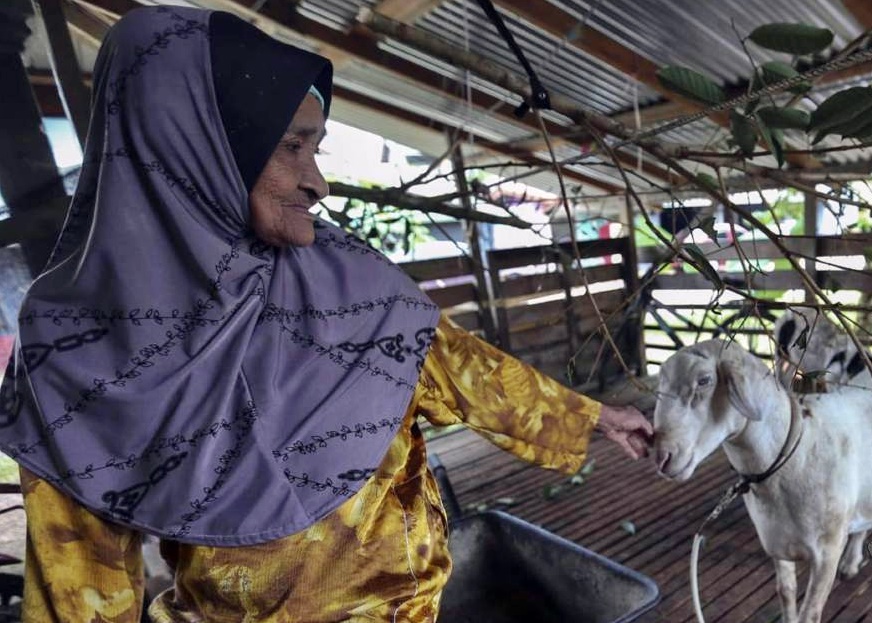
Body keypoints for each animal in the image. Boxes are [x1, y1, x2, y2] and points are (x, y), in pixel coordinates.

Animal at [656, 342, 872, 623]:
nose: (662, 457)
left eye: (704, 380)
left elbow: (810, 613)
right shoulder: (776, 540)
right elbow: (786, 591)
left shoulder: (828, 551)